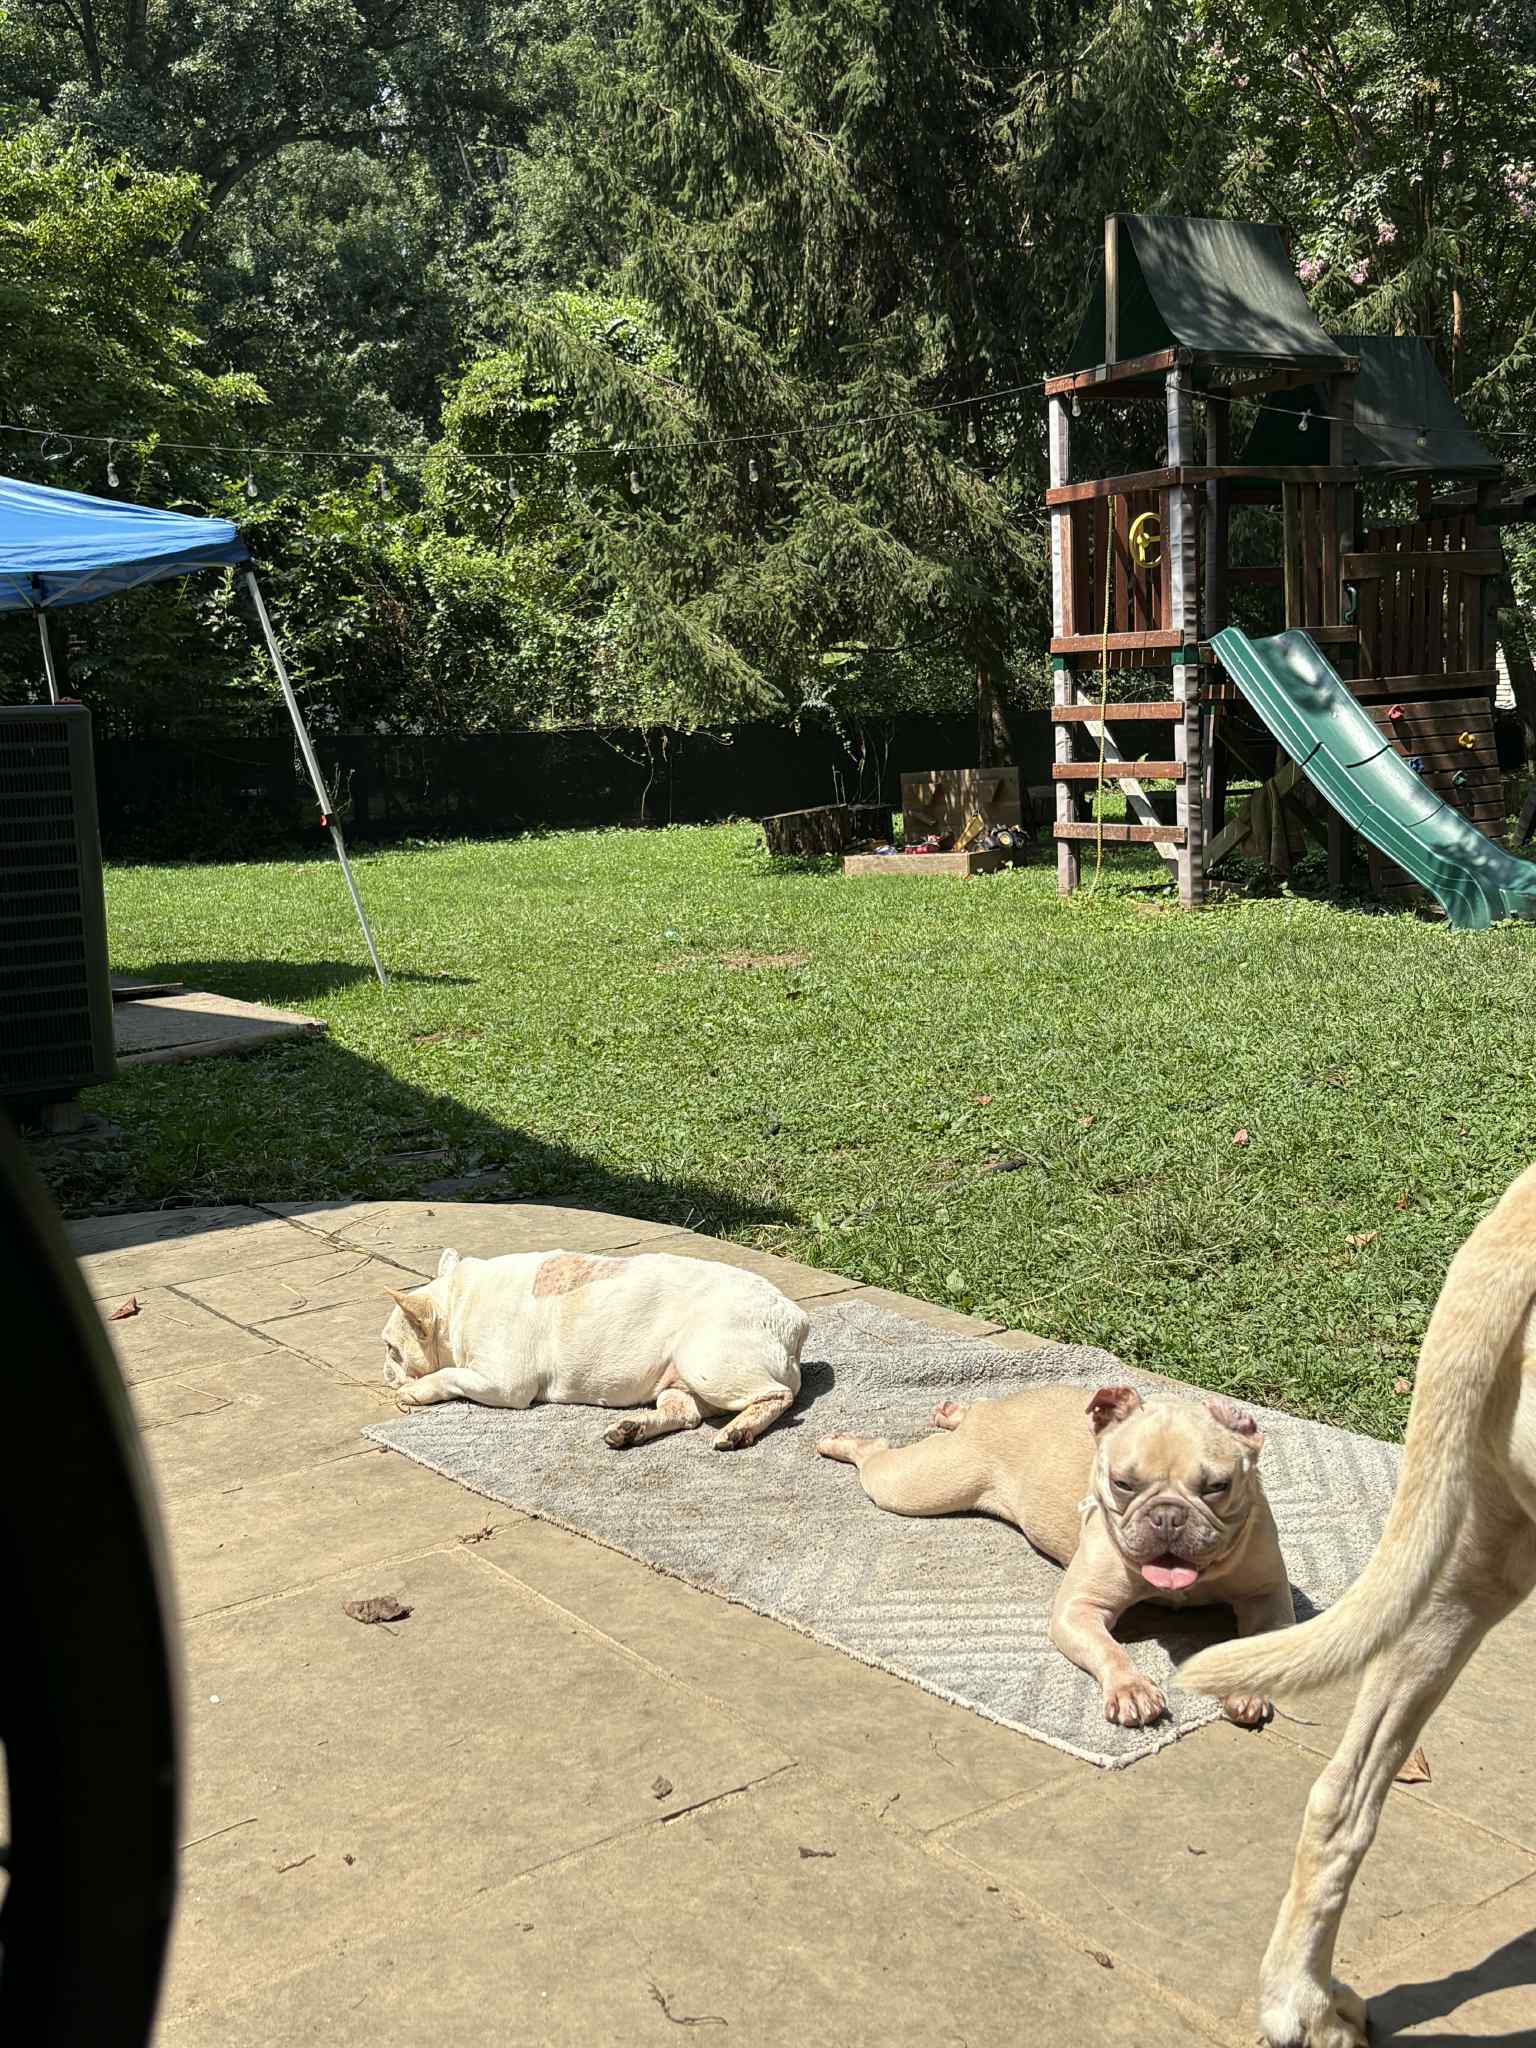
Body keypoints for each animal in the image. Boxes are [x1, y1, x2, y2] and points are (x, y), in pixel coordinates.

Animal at [380, 1247, 810, 1451]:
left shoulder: (504, 1383)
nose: (385, 1372)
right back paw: (631, 1430)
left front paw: (415, 1390)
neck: (456, 1305)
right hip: (680, 1378)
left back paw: (738, 1431)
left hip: (706, 1360)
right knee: (684, 1413)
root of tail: (794, 1318)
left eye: (392, 1350)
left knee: (777, 1395)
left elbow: (449, 1374)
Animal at [817, 1381, 1294, 1727]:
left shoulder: (1268, 1598)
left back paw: (954, 1411)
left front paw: (1247, 1691)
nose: (1167, 1516)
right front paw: (1131, 1689)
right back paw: (845, 1442)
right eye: (1123, 1483)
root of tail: (996, 1411)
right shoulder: (1078, 1609)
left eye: (1217, 1487)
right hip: (914, 1487)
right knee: (877, 1454)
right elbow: (1110, 1649)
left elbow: (1264, 1648)